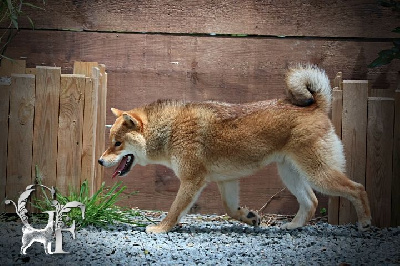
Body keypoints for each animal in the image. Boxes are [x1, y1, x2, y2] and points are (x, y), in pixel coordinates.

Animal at [97, 64, 372, 233]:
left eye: (117, 143)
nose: (100, 161)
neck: (170, 128)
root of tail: (316, 105)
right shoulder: (225, 181)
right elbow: (230, 208)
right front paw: (248, 216)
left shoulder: (191, 180)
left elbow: (174, 210)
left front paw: (160, 228)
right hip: (291, 174)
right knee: (311, 201)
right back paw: (292, 227)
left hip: (319, 174)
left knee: (357, 189)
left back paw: (366, 223)